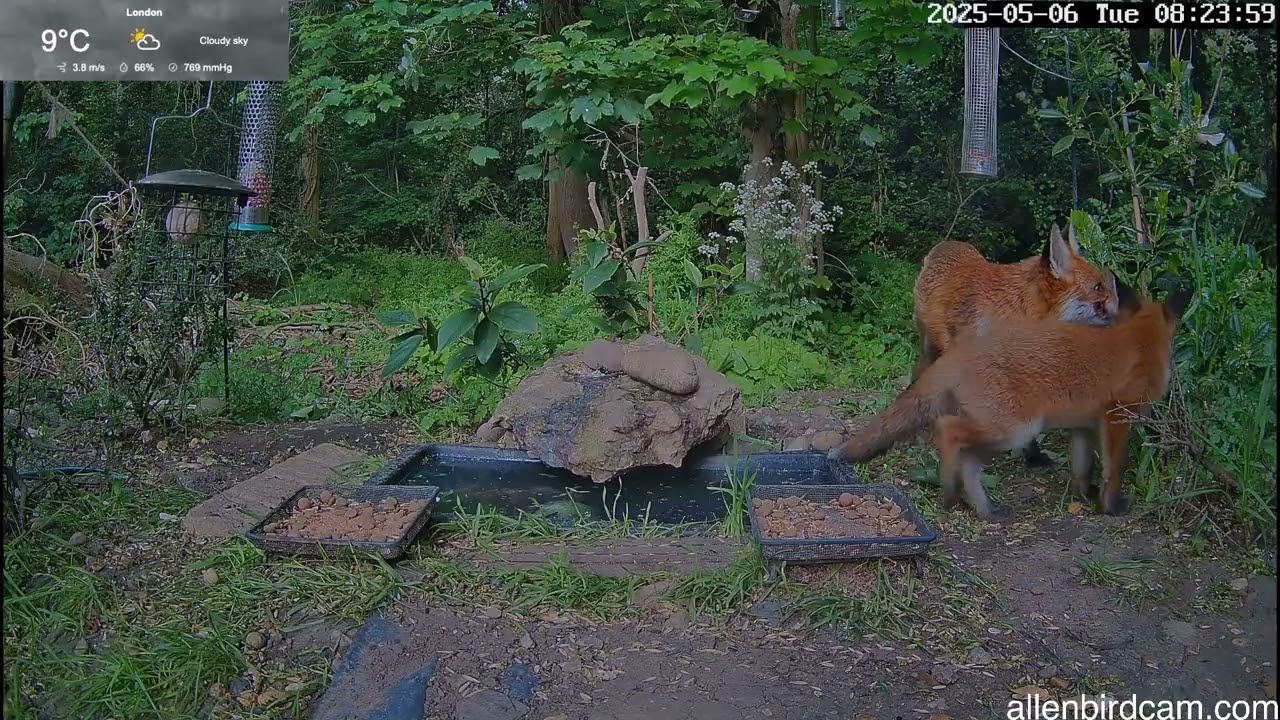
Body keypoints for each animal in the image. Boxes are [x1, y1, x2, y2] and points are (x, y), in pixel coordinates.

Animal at [830, 284, 1192, 521]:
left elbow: (1082, 467)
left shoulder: (1084, 427)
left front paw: (1084, 495)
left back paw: (984, 509)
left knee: (967, 462)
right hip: (1015, 430)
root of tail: (959, 354)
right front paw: (1111, 506)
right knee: (947, 430)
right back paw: (949, 491)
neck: (1140, 339)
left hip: (1000, 434)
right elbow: (1115, 468)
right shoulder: (1117, 415)